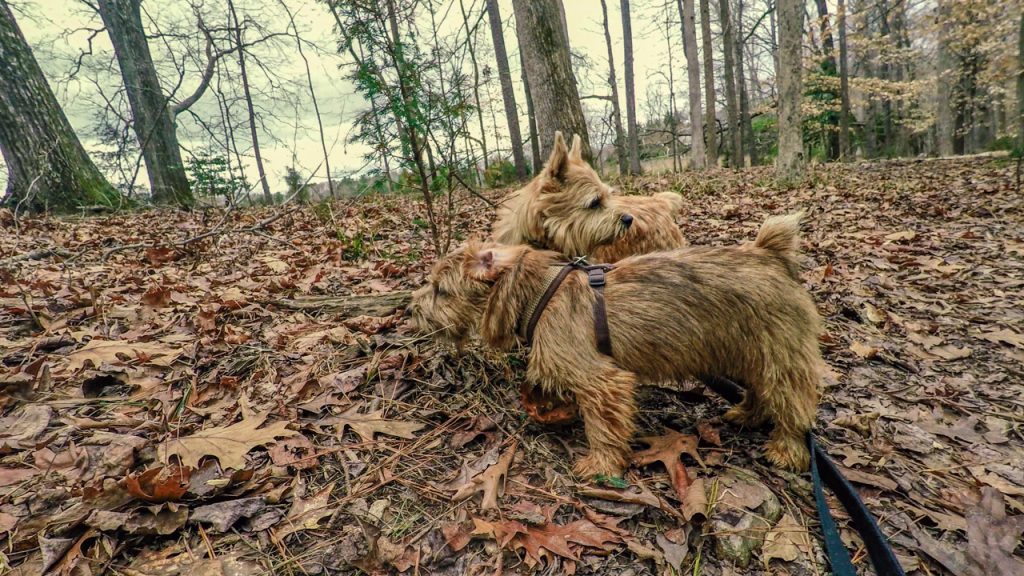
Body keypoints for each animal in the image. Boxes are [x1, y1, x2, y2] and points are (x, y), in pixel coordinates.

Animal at [407, 213, 823, 473]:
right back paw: (747, 413)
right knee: (760, 391)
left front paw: (602, 464)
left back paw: (786, 450)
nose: (410, 307)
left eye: (441, 290)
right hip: (749, 353)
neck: (539, 291)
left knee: (793, 405)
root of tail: (769, 254)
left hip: (779, 357)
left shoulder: (603, 382)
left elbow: (602, 426)